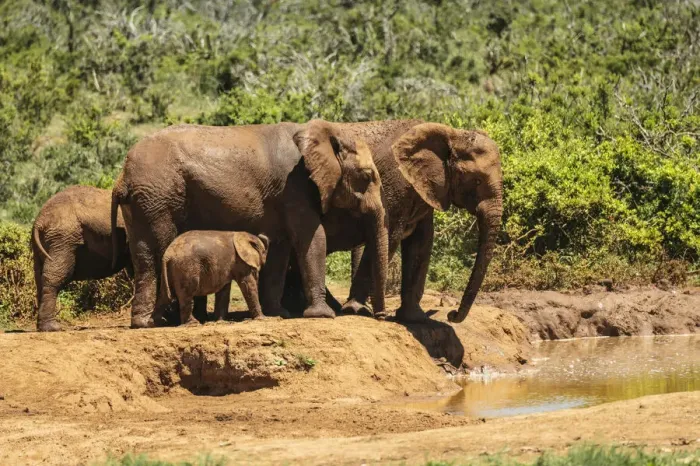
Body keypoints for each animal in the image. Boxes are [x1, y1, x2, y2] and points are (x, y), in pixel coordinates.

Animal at [111, 119, 389, 328]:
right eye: (367, 176)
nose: (380, 316)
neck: (324, 132)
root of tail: (122, 177)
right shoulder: (296, 187)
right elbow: (312, 238)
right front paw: (322, 316)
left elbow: (280, 247)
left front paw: (279, 314)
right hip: (158, 198)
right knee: (159, 248)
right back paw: (167, 321)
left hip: (143, 203)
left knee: (144, 256)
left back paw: (145, 323)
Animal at [283, 121, 503, 324]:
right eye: (476, 181)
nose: (451, 314)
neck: (452, 134)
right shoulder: (395, 183)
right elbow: (390, 237)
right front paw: (356, 310)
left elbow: (421, 243)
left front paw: (414, 317)